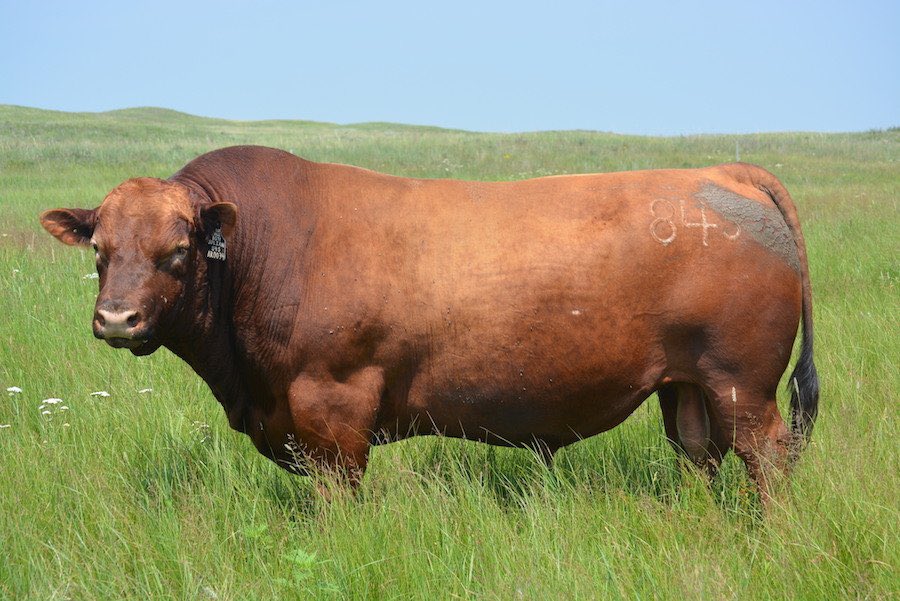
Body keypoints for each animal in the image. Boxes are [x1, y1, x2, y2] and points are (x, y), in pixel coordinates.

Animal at [40, 145, 818, 499]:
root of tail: (725, 170)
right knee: (697, 452)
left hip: (741, 381)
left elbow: (338, 498)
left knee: (767, 455)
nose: (116, 318)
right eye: (100, 249)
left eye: (177, 251)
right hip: (686, 382)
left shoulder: (333, 408)